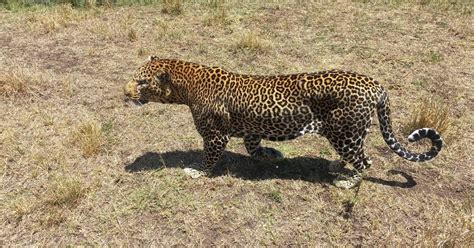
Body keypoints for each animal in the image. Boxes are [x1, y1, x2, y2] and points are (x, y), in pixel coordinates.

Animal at [124, 56, 442, 188]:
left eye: (141, 82)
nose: (125, 92)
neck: (187, 84)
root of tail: (375, 84)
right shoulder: (251, 129)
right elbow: (254, 148)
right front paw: (273, 154)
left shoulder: (214, 136)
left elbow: (209, 158)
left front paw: (197, 171)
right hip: (347, 134)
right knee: (356, 157)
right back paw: (336, 166)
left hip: (346, 132)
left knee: (366, 162)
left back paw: (348, 182)